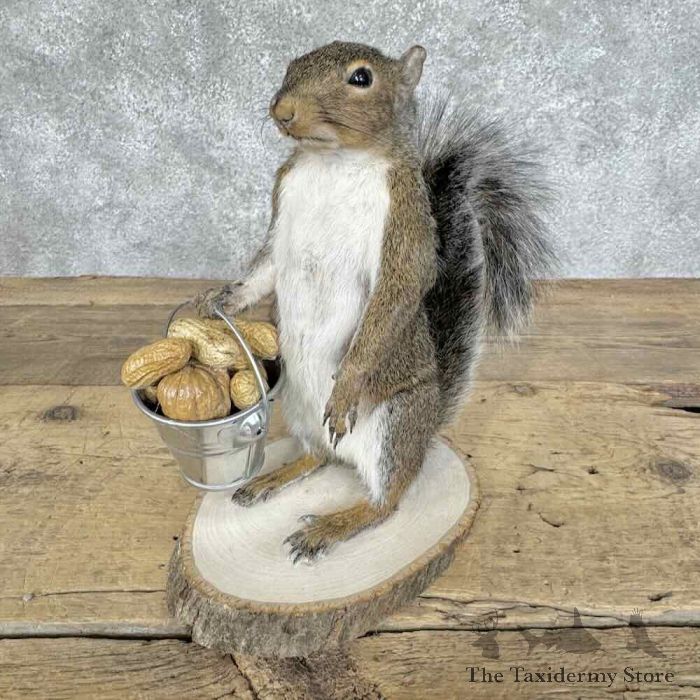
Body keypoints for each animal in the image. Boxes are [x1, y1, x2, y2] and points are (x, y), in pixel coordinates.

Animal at [195, 41, 554, 563]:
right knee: (319, 456)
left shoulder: (403, 224)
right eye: (291, 65)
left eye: (361, 78)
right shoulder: (281, 218)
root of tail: (426, 427)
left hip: (393, 422)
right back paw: (273, 478)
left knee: (387, 501)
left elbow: (395, 297)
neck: (334, 162)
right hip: (298, 408)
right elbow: (263, 272)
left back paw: (333, 525)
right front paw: (218, 300)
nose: (282, 111)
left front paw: (347, 386)